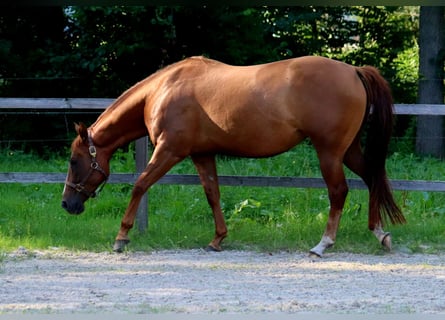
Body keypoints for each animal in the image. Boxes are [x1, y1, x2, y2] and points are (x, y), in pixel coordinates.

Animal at [60, 56, 404, 258]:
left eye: (74, 161)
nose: (67, 204)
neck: (163, 90)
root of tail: (354, 71)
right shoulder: (202, 154)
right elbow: (213, 194)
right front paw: (218, 239)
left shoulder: (170, 150)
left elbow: (140, 185)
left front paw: (121, 237)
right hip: (348, 150)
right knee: (372, 177)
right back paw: (380, 233)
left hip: (329, 152)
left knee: (339, 192)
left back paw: (323, 244)